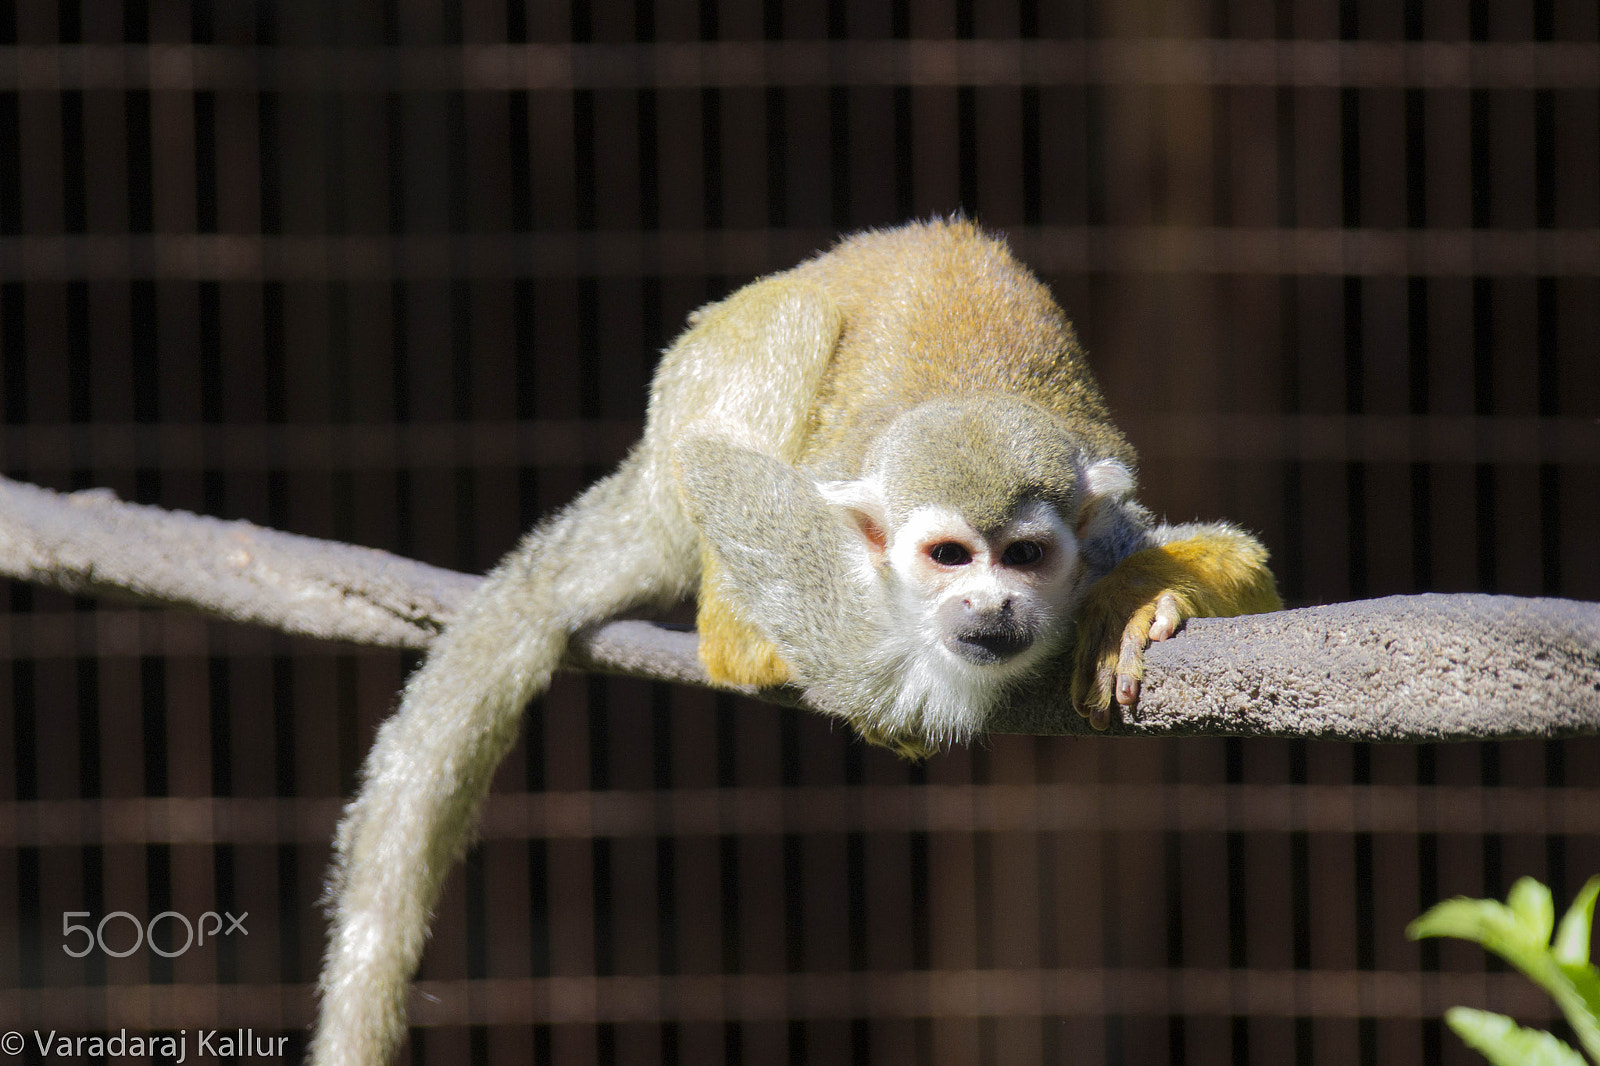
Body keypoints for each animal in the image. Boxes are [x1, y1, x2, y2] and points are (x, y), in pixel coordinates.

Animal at [308, 218, 1281, 1064]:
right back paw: (736, 639)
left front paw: (1137, 602)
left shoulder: (1104, 528)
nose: (990, 606)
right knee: (774, 353)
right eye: (950, 557)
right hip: (686, 404)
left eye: (1027, 557)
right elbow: (744, 498)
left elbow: (1241, 576)